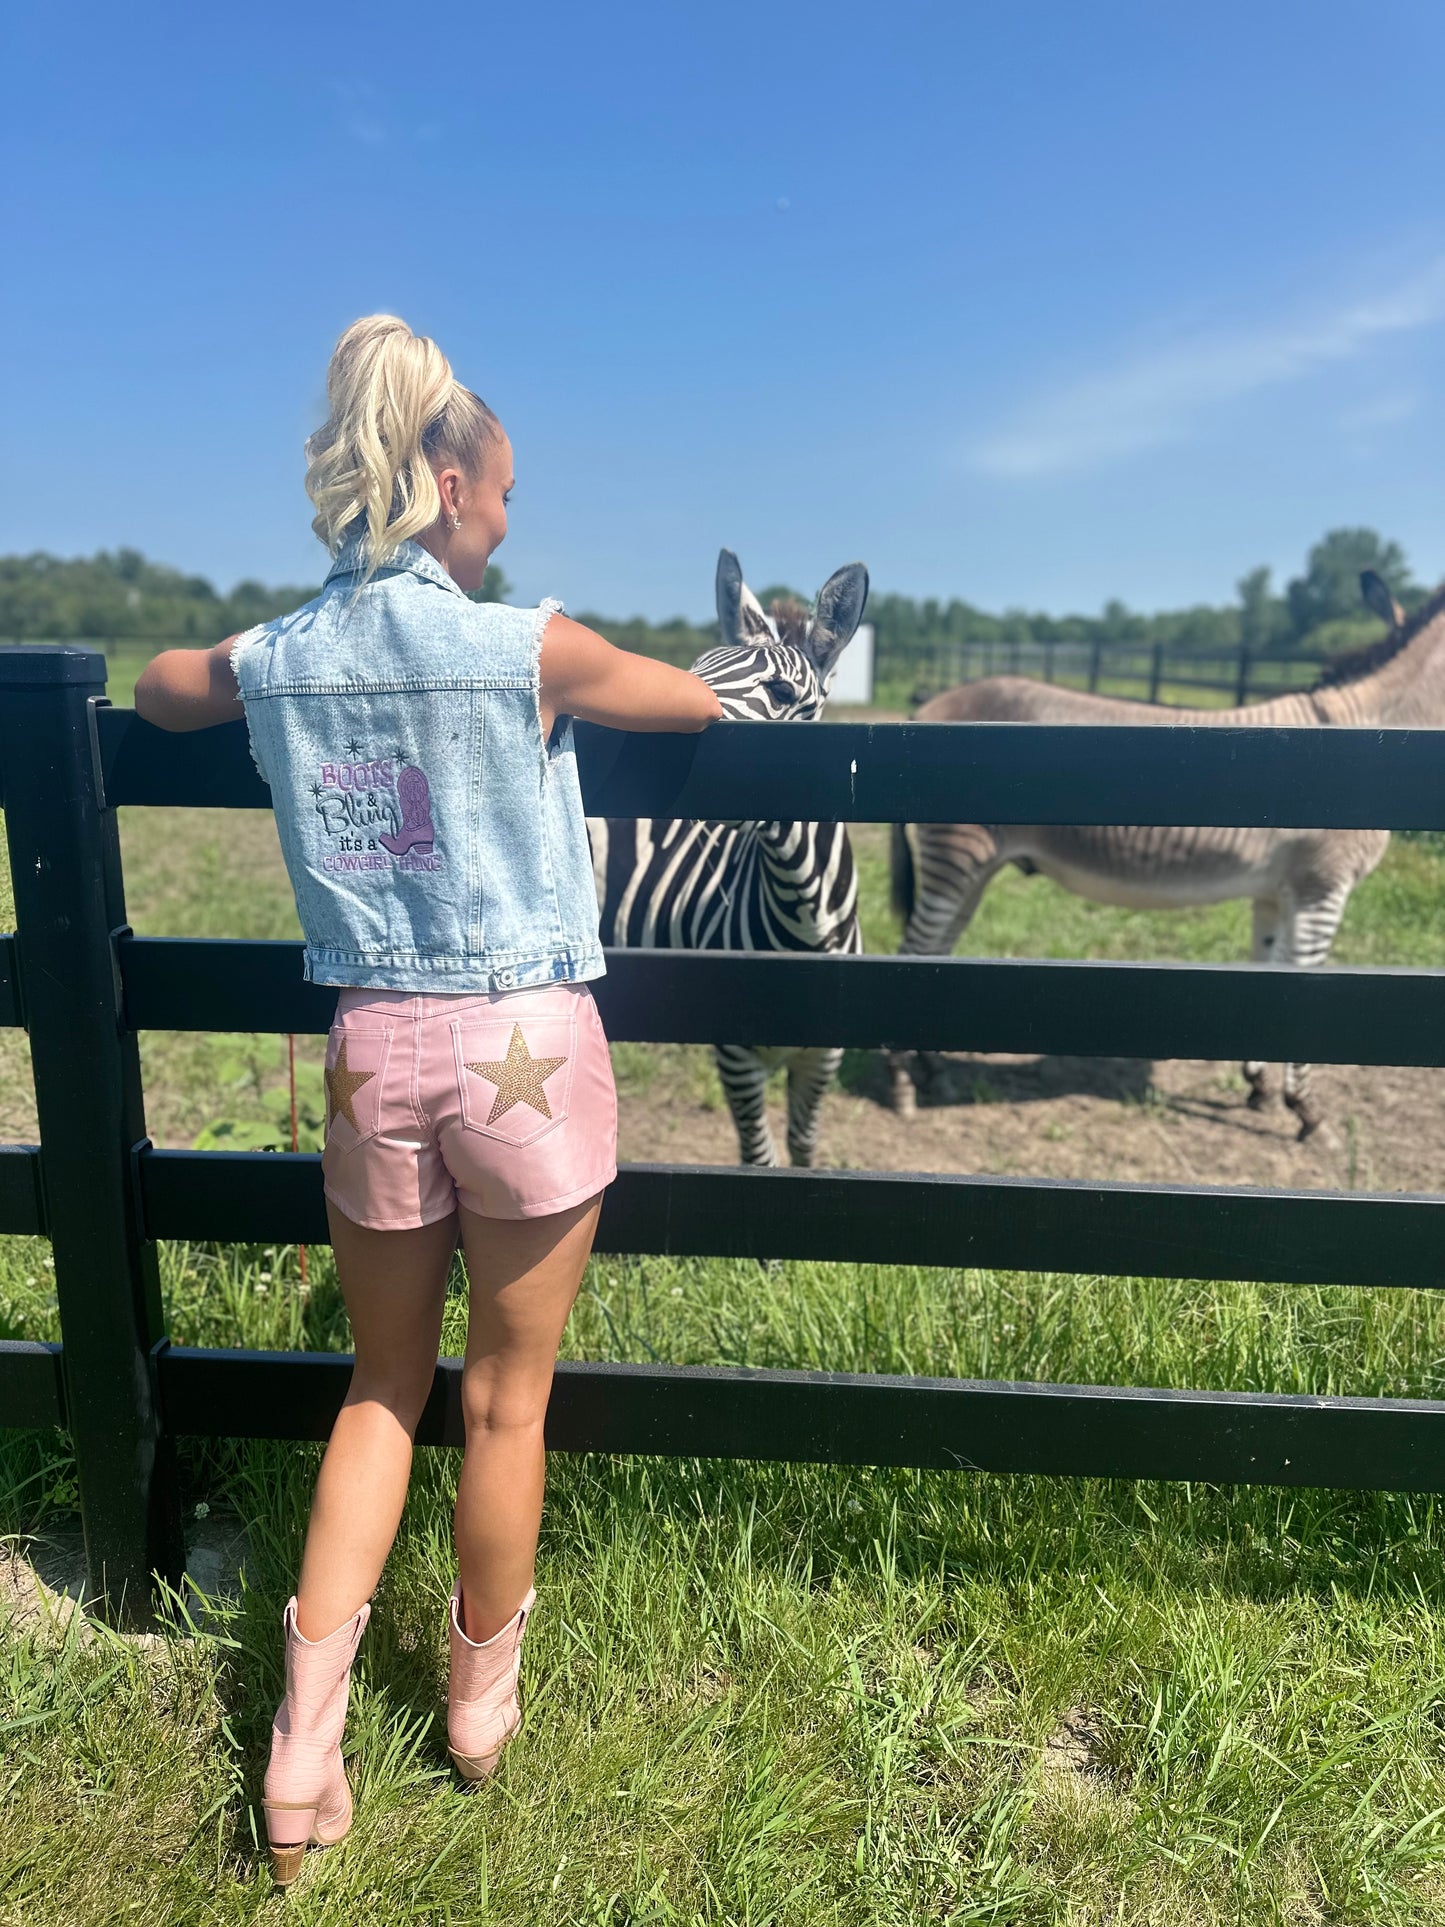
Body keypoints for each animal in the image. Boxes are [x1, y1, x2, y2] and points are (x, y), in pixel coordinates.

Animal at [589, 551, 870, 1163]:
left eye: (783, 693)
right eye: (695, 668)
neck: (803, 920)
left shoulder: (825, 1058)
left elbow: (804, 1149)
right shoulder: (734, 1054)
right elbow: (758, 1158)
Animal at [890, 570, 1441, 1140]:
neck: (1375, 729)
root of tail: (927, 706)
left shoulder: (1276, 892)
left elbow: (1268, 975)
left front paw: (1260, 1089)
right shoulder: (1322, 887)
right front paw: (1308, 1113)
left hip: (972, 867)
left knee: (932, 958)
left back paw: (933, 1074)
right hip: (956, 857)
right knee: (913, 954)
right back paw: (903, 1088)